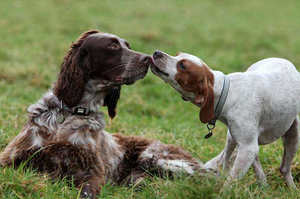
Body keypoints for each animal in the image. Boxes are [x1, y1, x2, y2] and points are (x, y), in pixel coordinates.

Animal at [0, 30, 204, 198]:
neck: (73, 112)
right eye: (113, 46)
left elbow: (87, 192)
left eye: (128, 46)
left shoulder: (92, 172)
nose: (148, 58)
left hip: (156, 157)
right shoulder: (12, 157)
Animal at [151, 50, 300, 187]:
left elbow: (230, 181)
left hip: (293, 136)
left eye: (182, 65)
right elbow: (242, 168)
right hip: (232, 138)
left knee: (284, 169)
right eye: (177, 54)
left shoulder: (248, 148)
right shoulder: (246, 145)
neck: (227, 92)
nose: (157, 52)